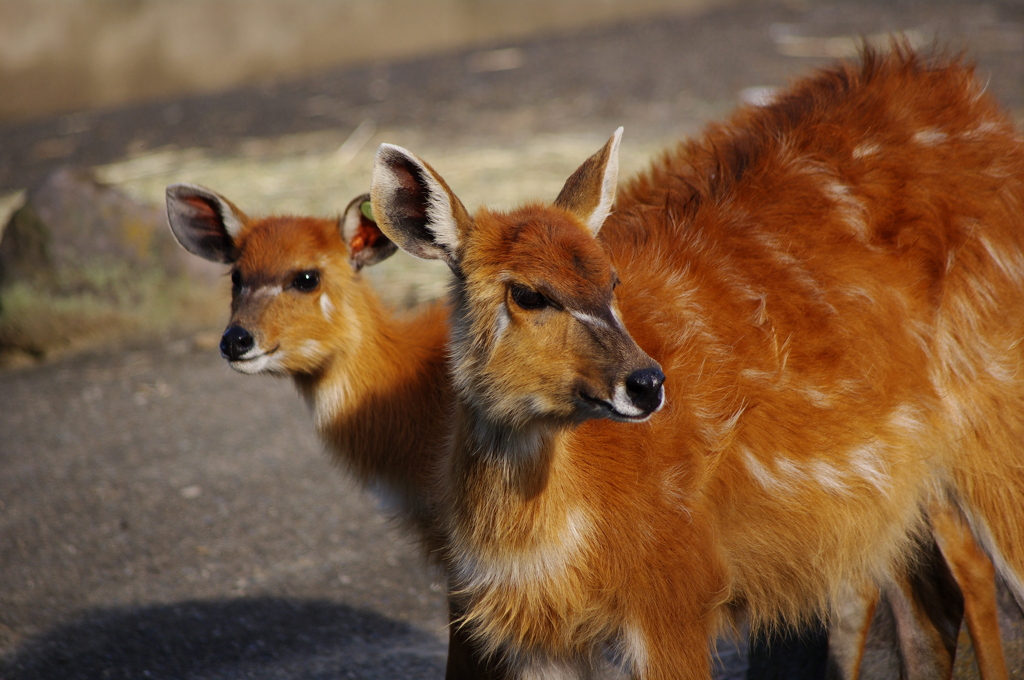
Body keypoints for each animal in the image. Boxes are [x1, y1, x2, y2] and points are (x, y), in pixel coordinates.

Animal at [370, 45, 1024, 675]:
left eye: (611, 281)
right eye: (528, 293)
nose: (647, 382)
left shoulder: (677, 593)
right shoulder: (536, 636)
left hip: (995, 426)